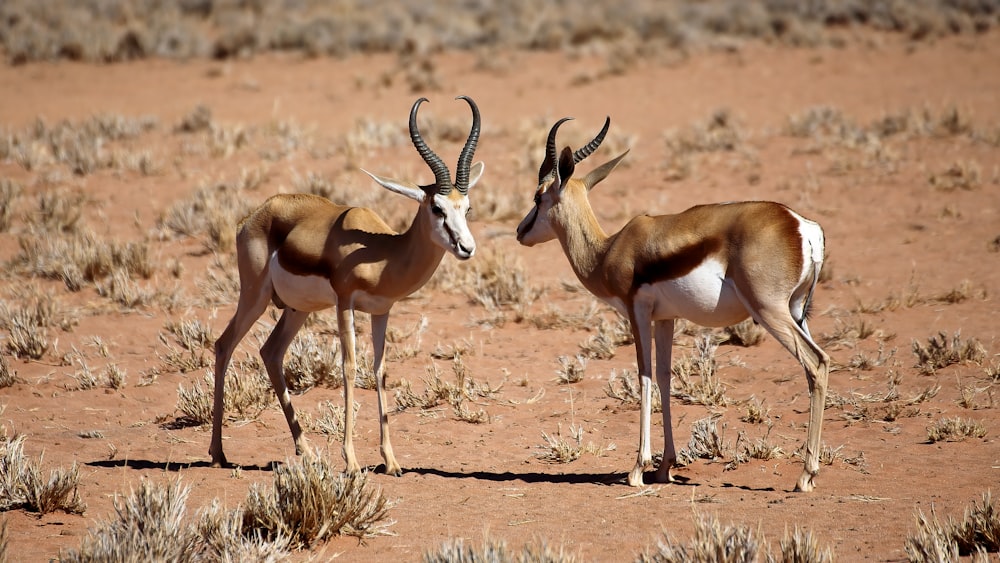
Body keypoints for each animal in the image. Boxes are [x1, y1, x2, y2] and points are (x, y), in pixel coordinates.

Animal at [211, 97, 484, 476]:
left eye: (467, 208)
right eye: (437, 208)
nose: (466, 248)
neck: (384, 253)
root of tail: (252, 217)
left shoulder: (382, 311)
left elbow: (380, 370)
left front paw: (391, 461)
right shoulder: (345, 303)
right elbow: (350, 367)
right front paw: (352, 461)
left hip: (296, 309)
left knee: (271, 352)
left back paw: (307, 452)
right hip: (255, 297)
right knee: (224, 345)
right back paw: (218, 453)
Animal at [516, 117, 828, 492]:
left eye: (538, 196)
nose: (520, 231)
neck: (608, 251)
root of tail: (803, 227)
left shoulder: (636, 312)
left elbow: (645, 376)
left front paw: (638, 469)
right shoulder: (666, 319)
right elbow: (665, 378)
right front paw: (665, 467)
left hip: (770, 311)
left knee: (817, 363)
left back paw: (806, 475)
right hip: (797, 312)